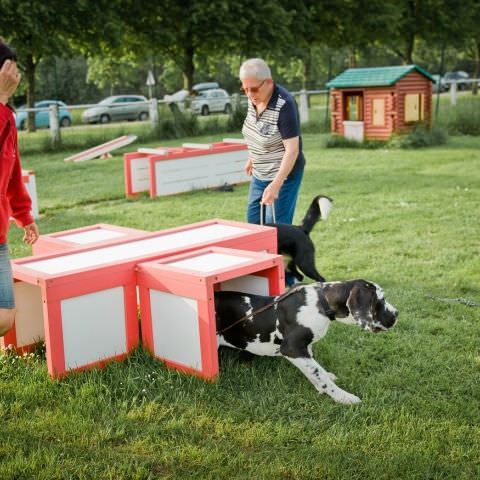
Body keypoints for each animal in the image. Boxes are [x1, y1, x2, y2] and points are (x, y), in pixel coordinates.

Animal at [216, 280, 400, 404]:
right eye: (381, 300)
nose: (397, 313)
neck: (322, 303)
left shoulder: (305, 348)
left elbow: (316, 369)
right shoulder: (292, 348)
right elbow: (318, 373)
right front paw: (342, 396)